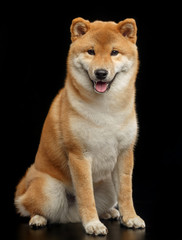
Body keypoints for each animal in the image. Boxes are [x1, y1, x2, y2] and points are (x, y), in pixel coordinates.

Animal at [14, 17, 145, 235]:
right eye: (91, 51)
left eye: (114, 52)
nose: (101, 73)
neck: (106, 108)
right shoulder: (79, 155)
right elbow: (86, 194)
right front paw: (92, 223)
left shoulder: (125, 153)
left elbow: (126, 193)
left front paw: (130, 218)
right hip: (50, 190)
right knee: (31, 206)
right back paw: (38, 218)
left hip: (108, 185)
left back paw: (110, 212)